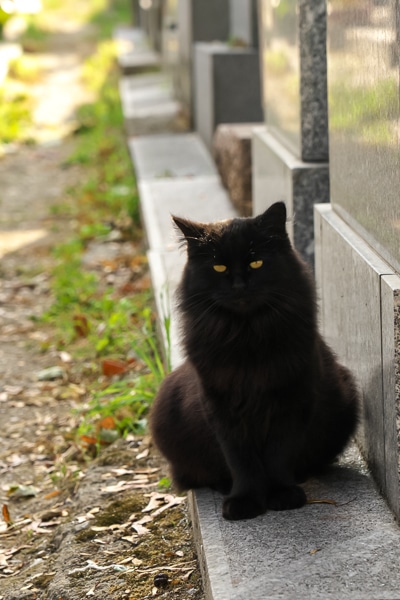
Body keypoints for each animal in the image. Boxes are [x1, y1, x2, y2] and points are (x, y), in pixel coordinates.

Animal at [150, 203, 360, 520]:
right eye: (219, 267)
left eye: (257, 263)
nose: (239, 286)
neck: (246, 336)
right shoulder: (222, 408)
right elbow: (241, 461)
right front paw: (245, 501)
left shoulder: (291, 402)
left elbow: (278, 455)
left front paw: (282, 495)